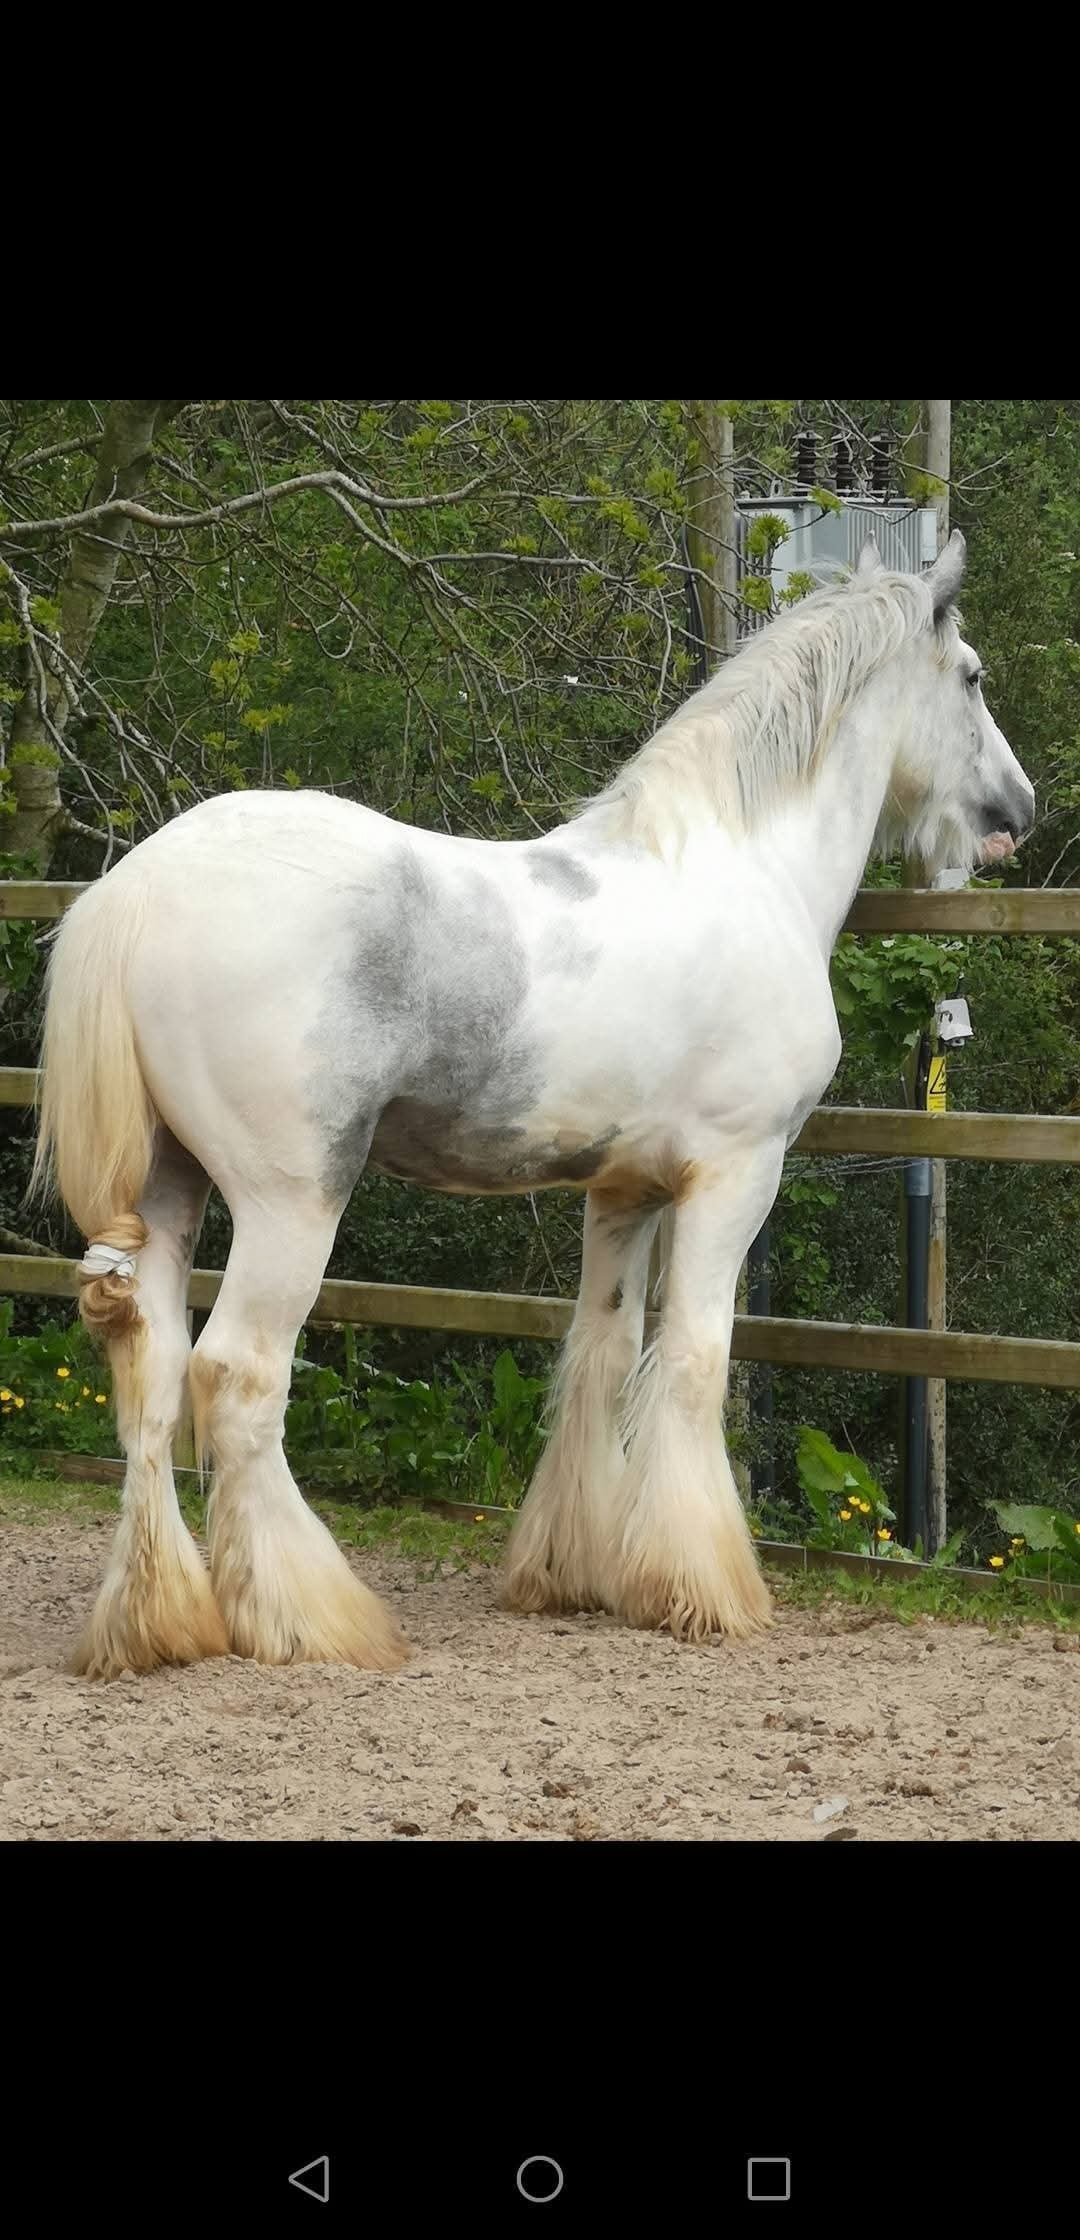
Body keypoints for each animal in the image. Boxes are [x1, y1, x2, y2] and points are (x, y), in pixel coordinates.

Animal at [31, 528, 1034, 1680]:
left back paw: (159, 1623)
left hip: (171, 1188)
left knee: (149, 1381)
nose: (1019, 811)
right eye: (972, 677)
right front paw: (705, 1588)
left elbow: (601, 1354)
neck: (744, 867)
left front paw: (575, 1573)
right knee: (237, 1378)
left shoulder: (625, 1190)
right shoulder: (737, 1175)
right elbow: (693, 1360)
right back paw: (311, 1619)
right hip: (292, 1200)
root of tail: (137, 890)